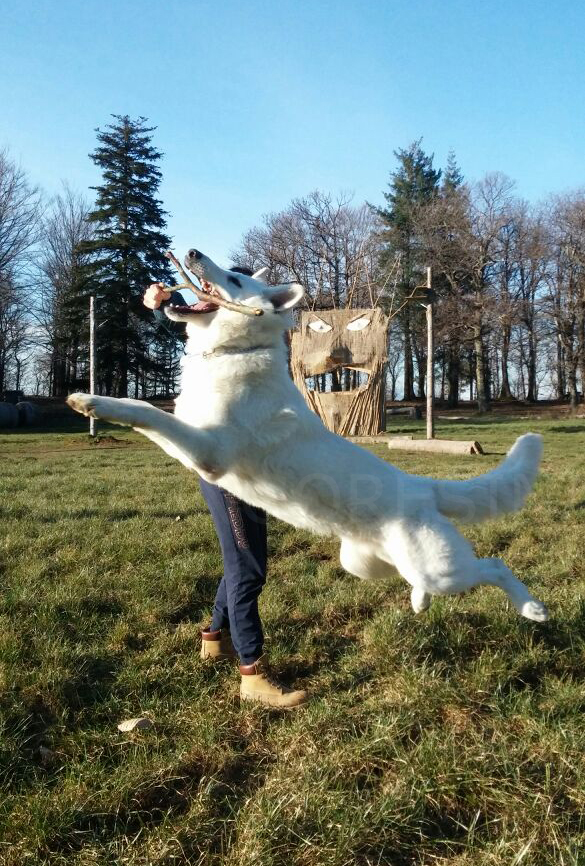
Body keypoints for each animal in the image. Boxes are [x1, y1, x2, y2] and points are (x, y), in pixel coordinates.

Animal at [68, 250, 548, 620]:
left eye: (234, 279)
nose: (191, 252)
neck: (233, 354)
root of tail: (422, 487)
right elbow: (154, 414)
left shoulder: (209, 450)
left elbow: (145, 411)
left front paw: (92, 402)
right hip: (366, 564)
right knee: (420, 578)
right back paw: (420, 602)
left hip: (442, 570)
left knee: (495, 567)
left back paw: (531, 608)